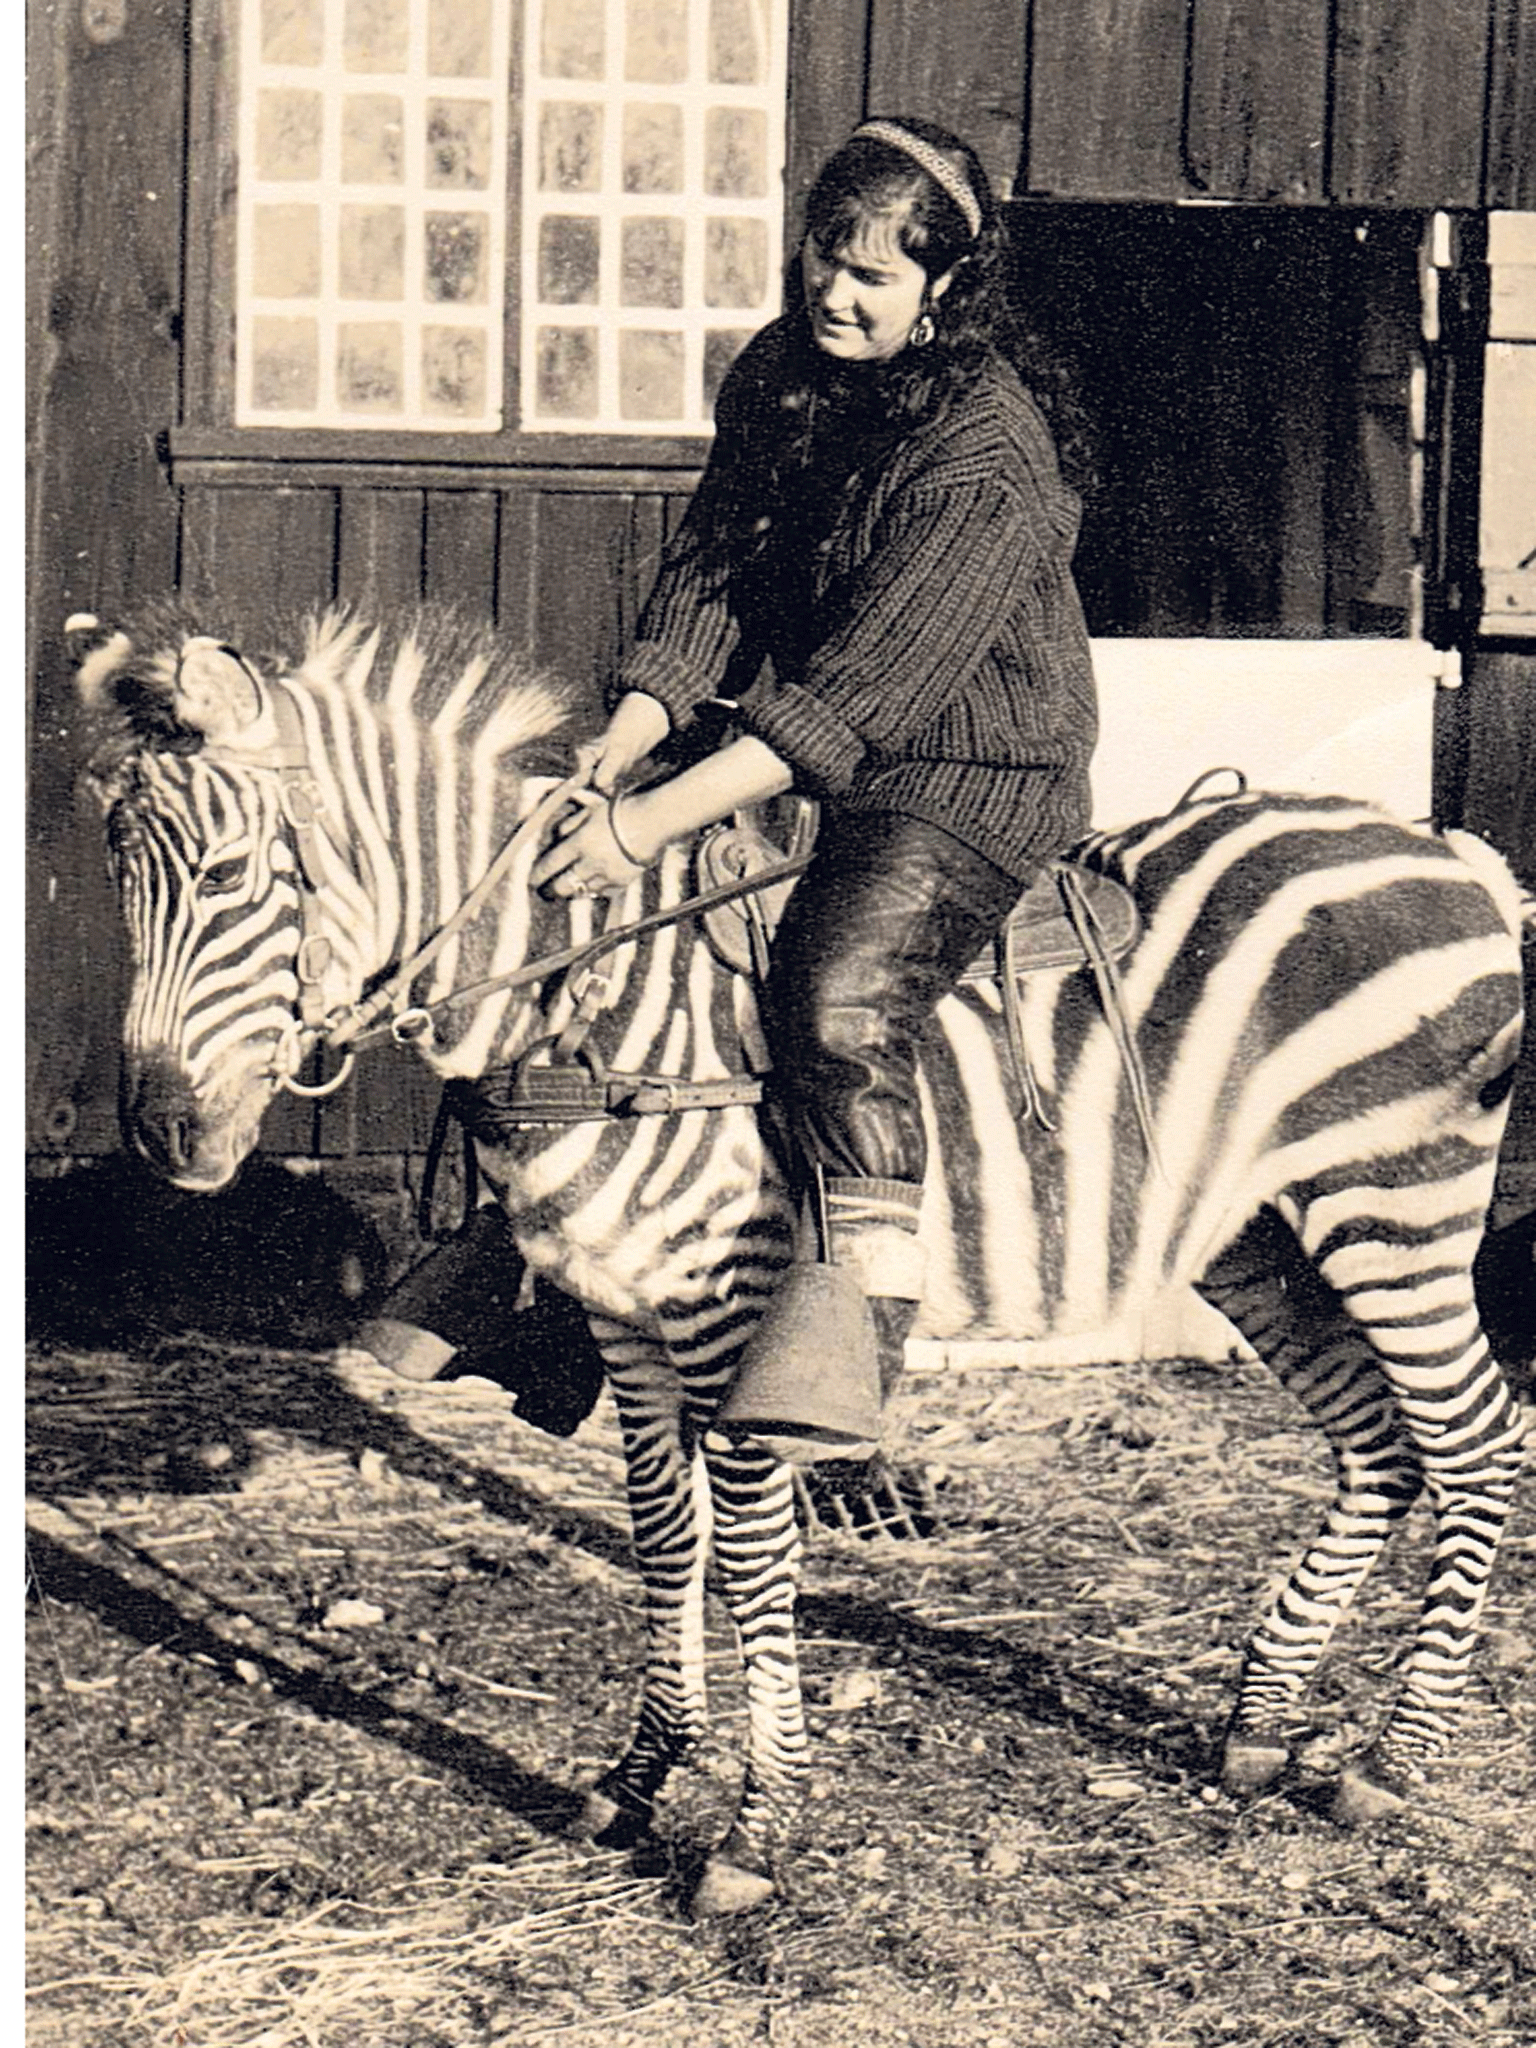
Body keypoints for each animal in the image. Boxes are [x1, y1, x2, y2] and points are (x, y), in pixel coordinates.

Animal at [78, 606, 1531, 1916]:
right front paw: (642, 1779)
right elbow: (667, 1536)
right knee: (1380, 1446)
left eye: (227, 879)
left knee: (1476, 1441)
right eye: (114, 873)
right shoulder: (628, 1319)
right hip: (1260, 1229)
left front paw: (757, 1829)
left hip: (1393, 1200)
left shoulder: (738, 1310)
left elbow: (757, 1548)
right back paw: (1257, 1726)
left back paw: (1394, 1762)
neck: (594, 1004)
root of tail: (1446, 847)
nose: (161, 1136)